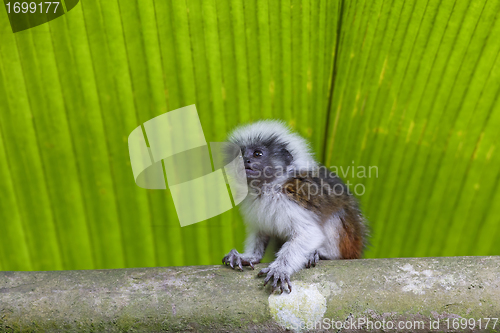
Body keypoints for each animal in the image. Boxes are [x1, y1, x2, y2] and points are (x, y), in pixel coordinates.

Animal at [223, 120, 368, 292]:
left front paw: (280, 268)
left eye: (257, 154)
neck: (267, 188)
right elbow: (260, 231)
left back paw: (322, 254)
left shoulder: (288, 200)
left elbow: (309, 233)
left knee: (336, 215)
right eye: (239, 155)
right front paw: (248, 257)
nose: (244, 161)